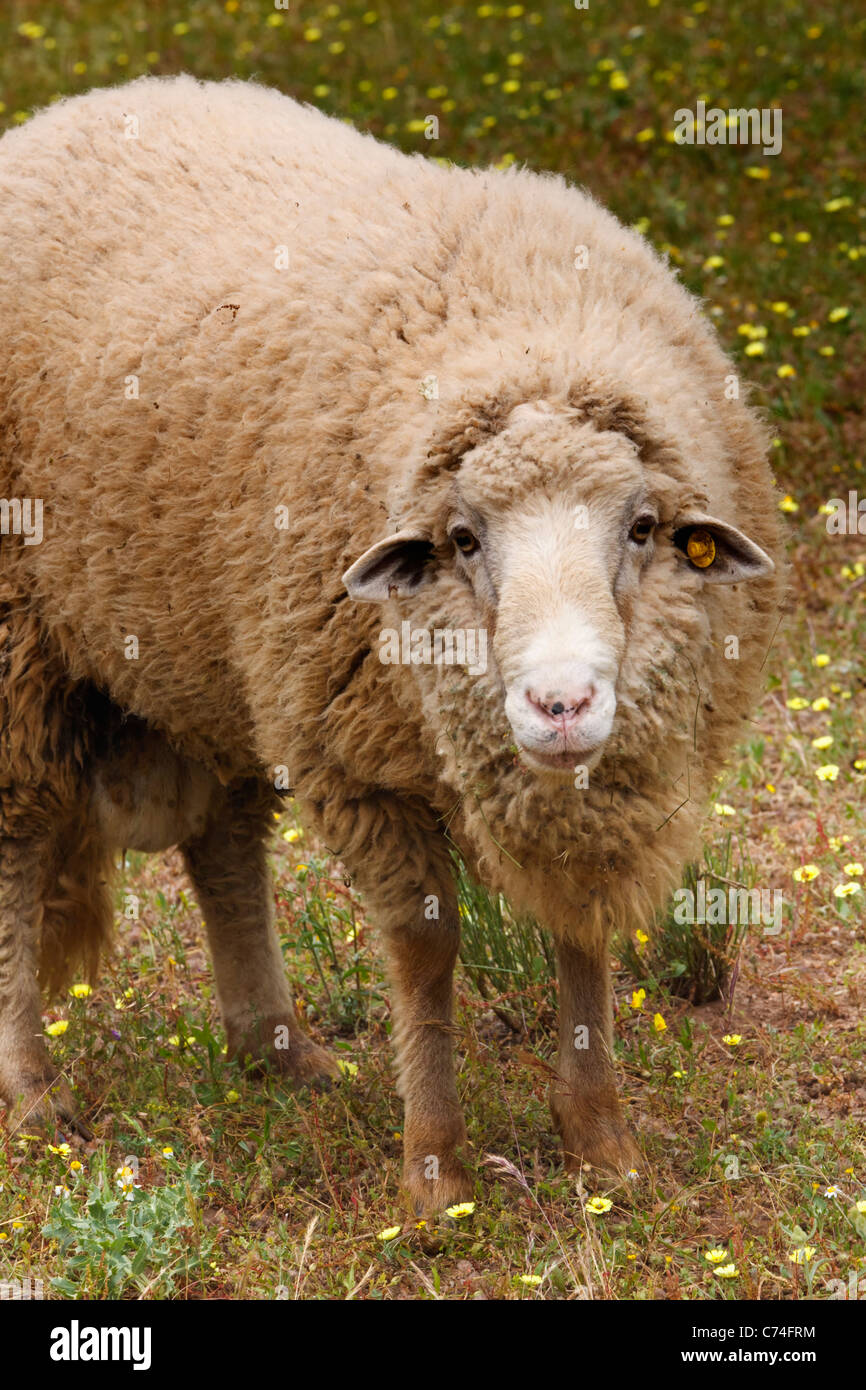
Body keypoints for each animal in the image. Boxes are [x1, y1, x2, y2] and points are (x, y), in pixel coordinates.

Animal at [0, 76, 783, 1212]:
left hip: (223, 657)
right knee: (20, 845)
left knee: (224, 841)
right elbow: (423, 944)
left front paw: (600, 1142)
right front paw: (434, 1169)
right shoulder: (358, 762)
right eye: (463, 540)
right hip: (27, 644)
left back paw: (277, 1050)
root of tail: (77, 108)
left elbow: (579, 933)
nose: (559, 704)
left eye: (641, 528)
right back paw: (33, 1090)